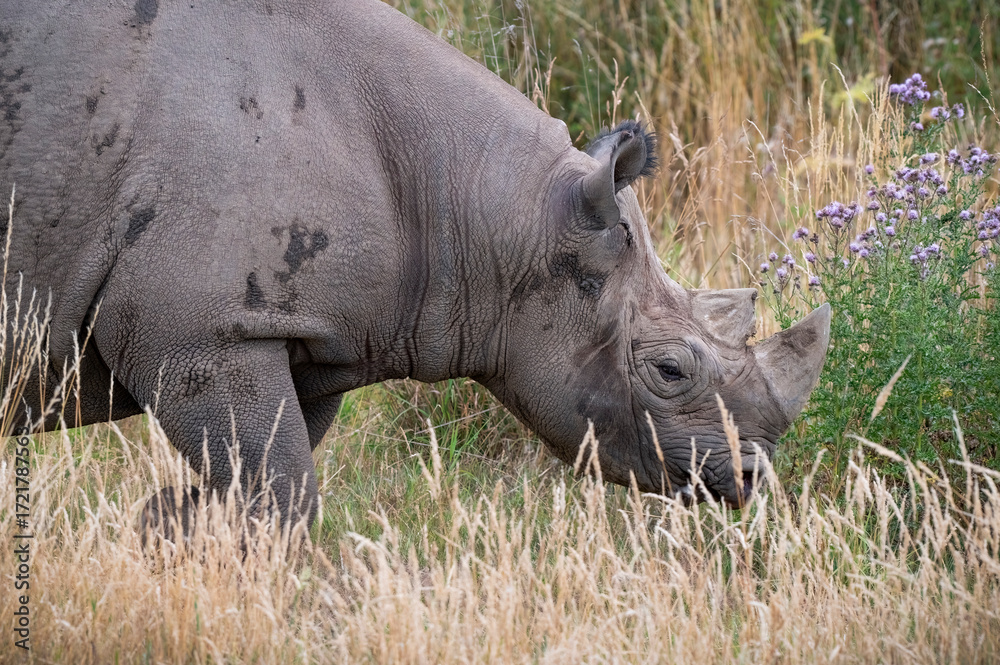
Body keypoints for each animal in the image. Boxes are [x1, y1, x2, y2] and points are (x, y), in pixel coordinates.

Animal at [0, 0, 829, 533]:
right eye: (669, 371)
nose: (753, 477)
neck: (492, 208)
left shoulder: (300, 332)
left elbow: (256, 484)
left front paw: (167, 532)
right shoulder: (203, 331)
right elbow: (283, 493)